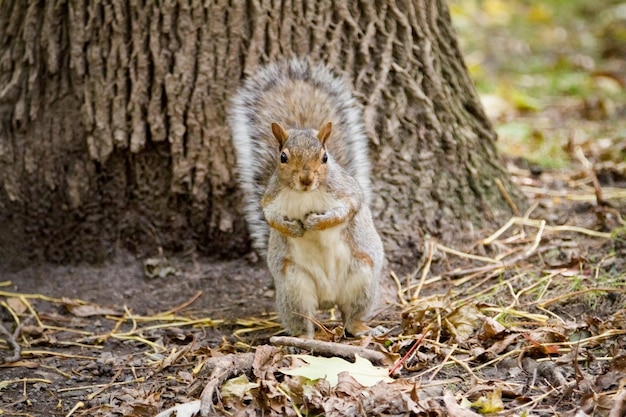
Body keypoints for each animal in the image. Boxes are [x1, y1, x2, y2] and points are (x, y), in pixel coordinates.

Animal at [228, 59, 382, 338]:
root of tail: (328, 300)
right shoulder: (270, 200)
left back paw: (363, 328)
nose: (306, 179)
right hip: (294, 287)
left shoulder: (346, 192)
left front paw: (315, 223)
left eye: (325, 157)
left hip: (363, 278)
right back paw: (303, 337)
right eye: (283, 157)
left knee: (352, 316)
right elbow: (270, 218)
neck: (304, 194)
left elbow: (348, 209)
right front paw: (293, 228)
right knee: (303, 319)